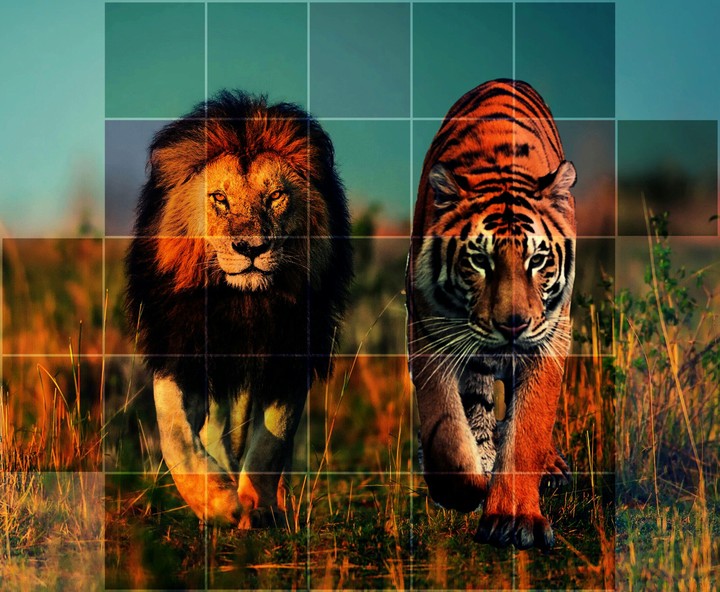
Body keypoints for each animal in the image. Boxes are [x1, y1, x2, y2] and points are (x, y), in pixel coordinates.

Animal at [125, 91, 352, 527]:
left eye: (275, 196)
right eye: (220, 198)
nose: (251, 248)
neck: (241, 302)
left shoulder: (290, 349)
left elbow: (273, 439)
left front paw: (256, 503)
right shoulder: (180, 346)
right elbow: (175, 432)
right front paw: (219, 503)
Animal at [406, 79, 576, 549]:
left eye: (538, 260)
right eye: (479, 260)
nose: (513, 325)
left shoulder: (550, 338)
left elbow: (528, 428)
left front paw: (514, 518)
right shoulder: (428, 330)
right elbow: (446, 427)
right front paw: (462, 490)